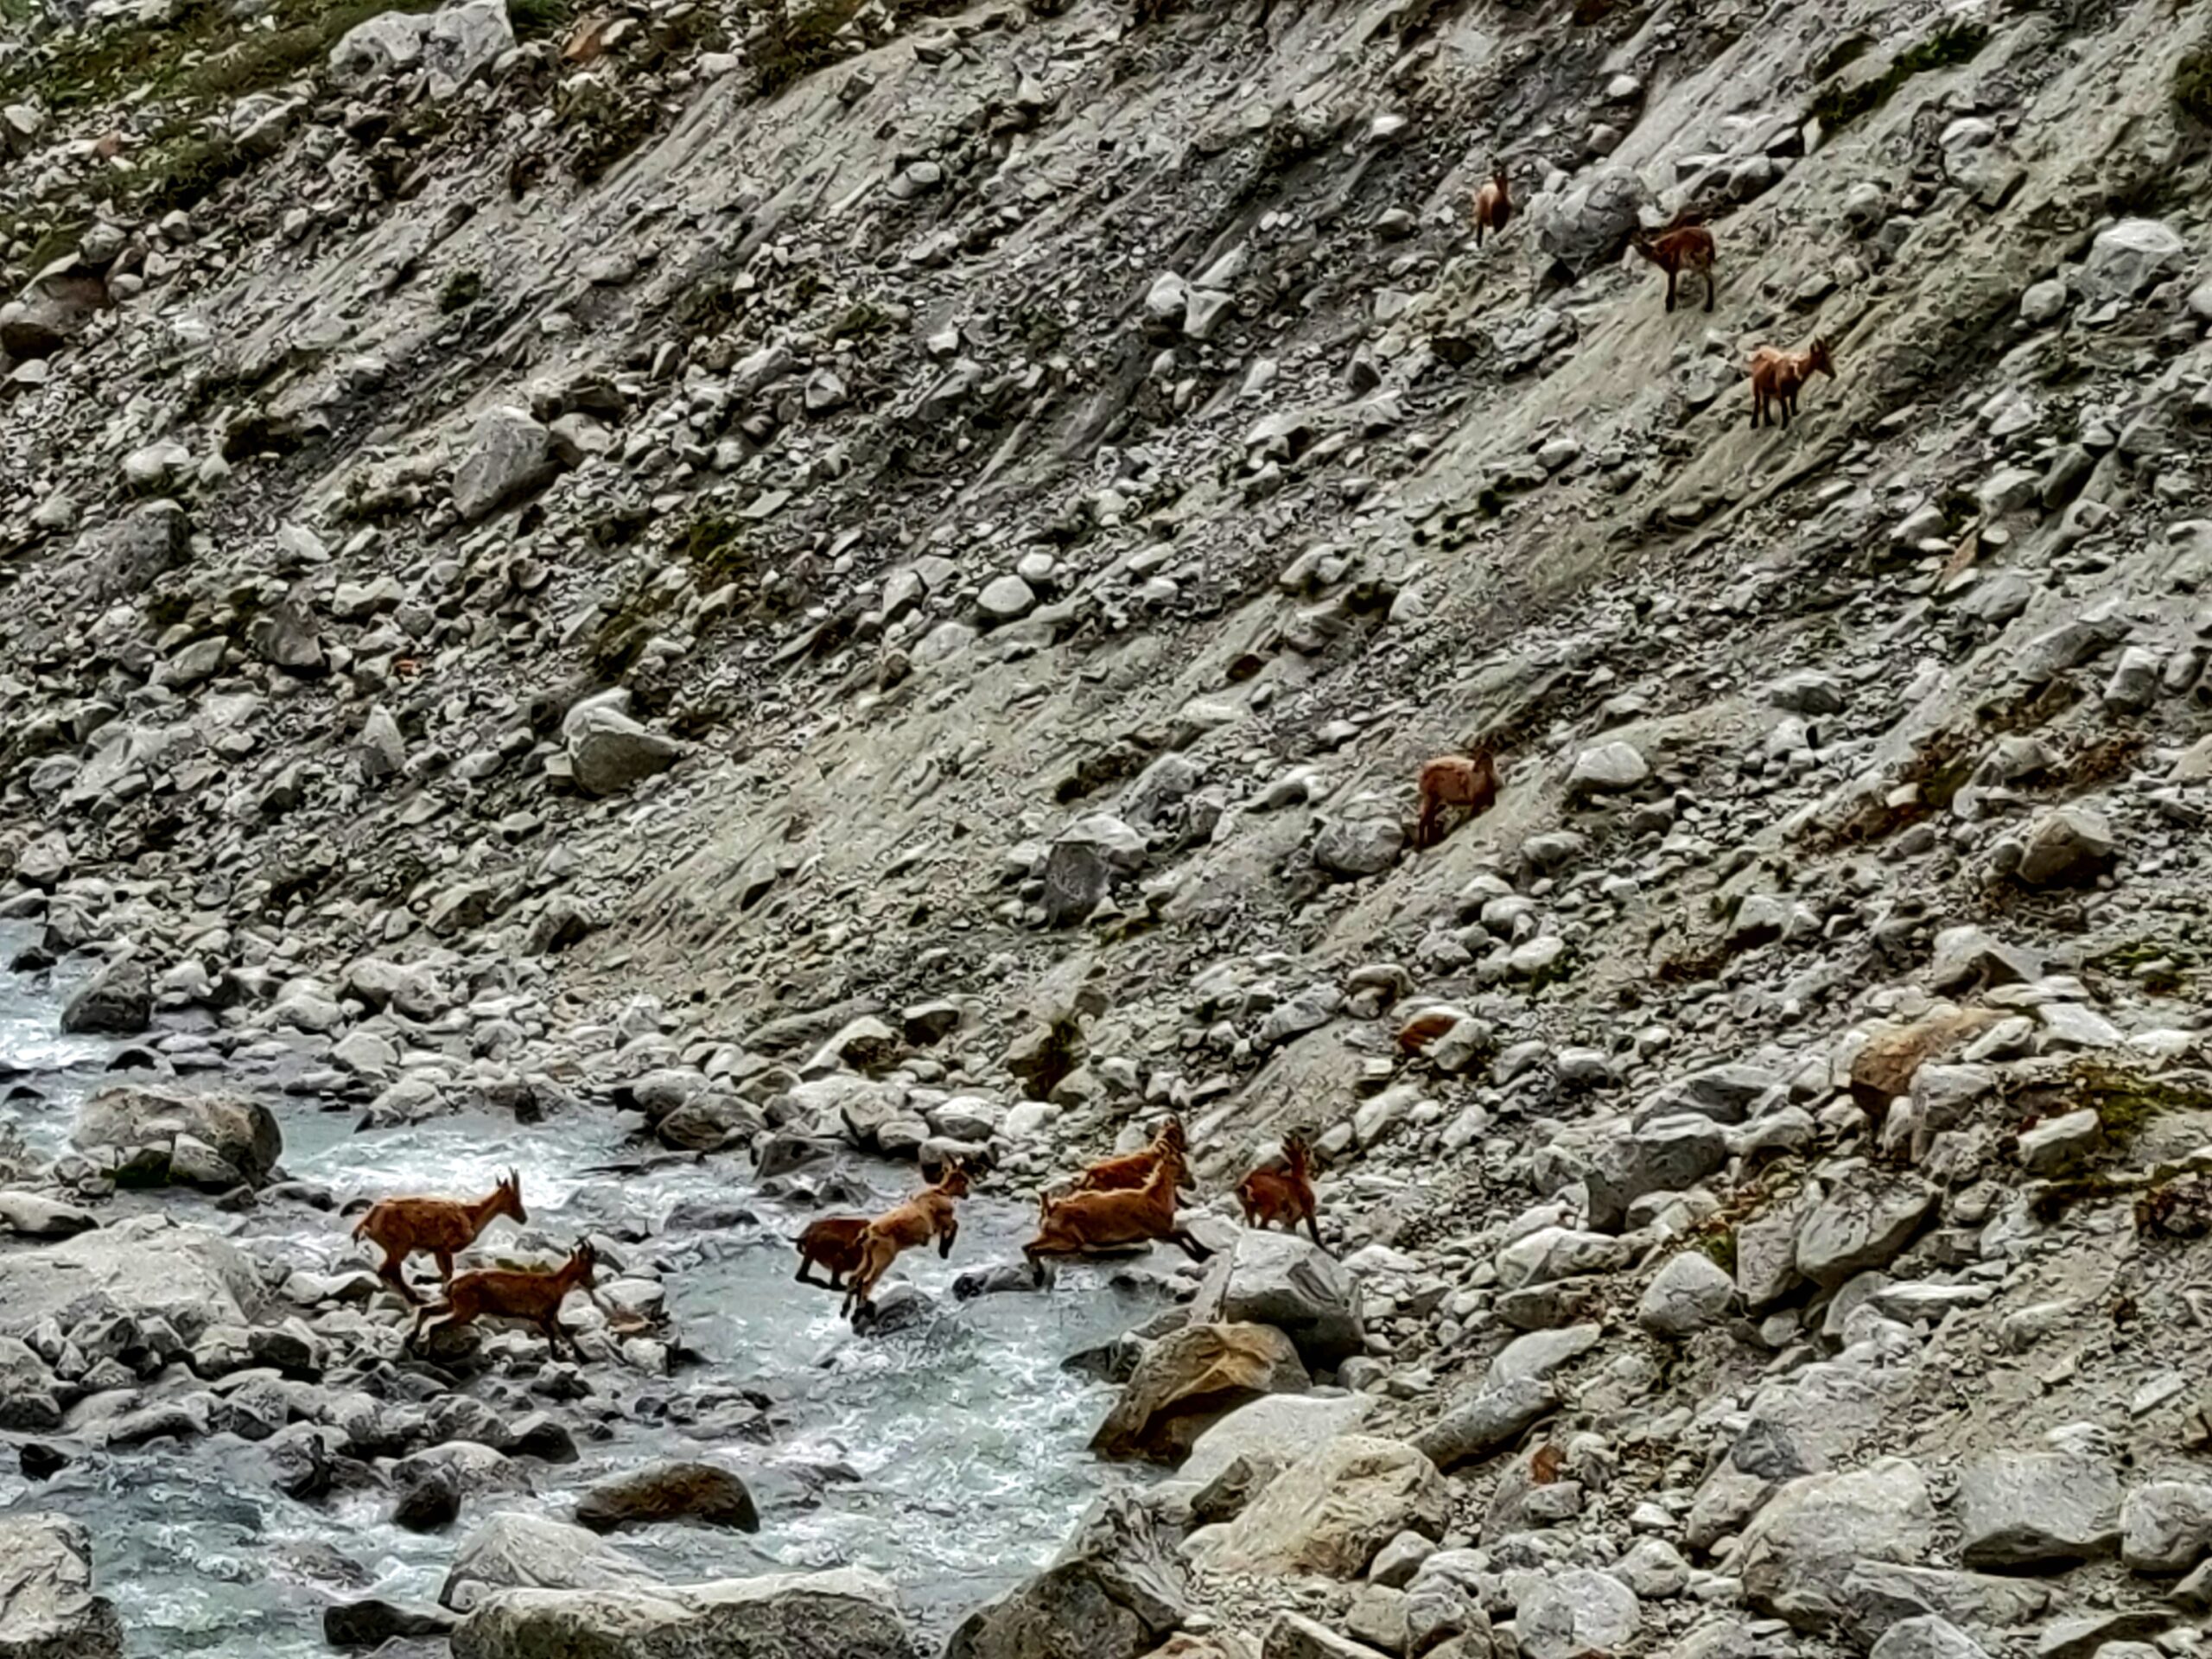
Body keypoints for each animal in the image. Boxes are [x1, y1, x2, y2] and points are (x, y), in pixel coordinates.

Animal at [353, 1176, 526, 1309]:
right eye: (514, 1198)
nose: (524, 1218)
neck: (471, 1214)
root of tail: (367, 1220)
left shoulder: (437, 1249)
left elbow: (445, 1273)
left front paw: (425, 1280)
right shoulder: (445, 1247)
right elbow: (448, 1273)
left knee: (387, 1271)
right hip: (400, 1245)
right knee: (388, 1271)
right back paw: (416, 1298)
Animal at [411, 1238, 601, 1353]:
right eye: (587, 1267)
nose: (594, 1284)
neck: (555, 1284)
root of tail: (453, 1284)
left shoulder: (552, 1315)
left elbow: (564, 1332)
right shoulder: (542, 1316)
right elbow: (552, 1336)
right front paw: (556, 1356)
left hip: (454, 1304)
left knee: (425, 1310)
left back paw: (412, 1339)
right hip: (466, 1309)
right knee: (436, 1326)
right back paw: (430, 1353)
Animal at [836, 1159, 969, 1336]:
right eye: (964, 1180)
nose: (967, 1194)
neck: (940, 1192)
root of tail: (868, 1233)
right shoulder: (944, 1221)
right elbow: (954, 1225)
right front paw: (944, 1250)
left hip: (868, 1257)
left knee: (855, 1277)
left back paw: (845, 1311)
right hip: (883, 1257)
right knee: (867, 1282)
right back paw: (858, 1313)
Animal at [1030, 1141, 1221, 1282]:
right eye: (1179, 1164)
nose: (1193, 1184)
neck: (1155, 1198)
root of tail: (1049, 1209)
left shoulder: (1160, 1234)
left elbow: (1185, 1234)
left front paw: (1204, 1252)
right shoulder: (1160, 1230)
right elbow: (1184, 1234)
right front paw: (1202, 1254)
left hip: (1057, 1237)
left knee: (1030, 1246)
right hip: (1066, 1240)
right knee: (1032, 1248)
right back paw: (1039, 1273)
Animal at [1238, 1132, 1318, 1247]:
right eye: (1307, 1151)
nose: (1315, 1166)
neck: (1298, 1180)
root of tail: (1249, 1184)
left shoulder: (1291, 1220)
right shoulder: (1304, 1211)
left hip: (1250, 1210)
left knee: (1254, 1226)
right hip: (1272, 1206)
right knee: (1261, 1226)